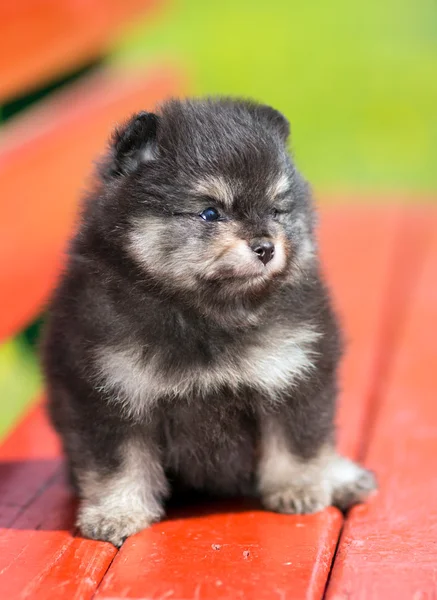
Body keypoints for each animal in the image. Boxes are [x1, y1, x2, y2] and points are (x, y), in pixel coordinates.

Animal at [41, 96, 374, 548]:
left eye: (276, 210)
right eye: (210, 213)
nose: (266, 247)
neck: (207, 314)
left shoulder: (295, 374)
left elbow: (298, 443)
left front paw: (299, 489)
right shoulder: (107, 393)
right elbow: (116, 465)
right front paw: (116, 514)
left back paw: (341, 478)